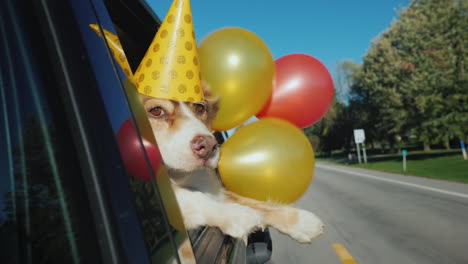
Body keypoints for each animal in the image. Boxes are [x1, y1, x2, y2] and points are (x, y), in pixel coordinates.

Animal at [141, 87, 324, 262]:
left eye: (200, 108)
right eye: (156, 110)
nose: (209, 146)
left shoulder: (218, 191)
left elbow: (256, 203)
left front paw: (301, 222)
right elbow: (190, 199)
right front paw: (236, 215)